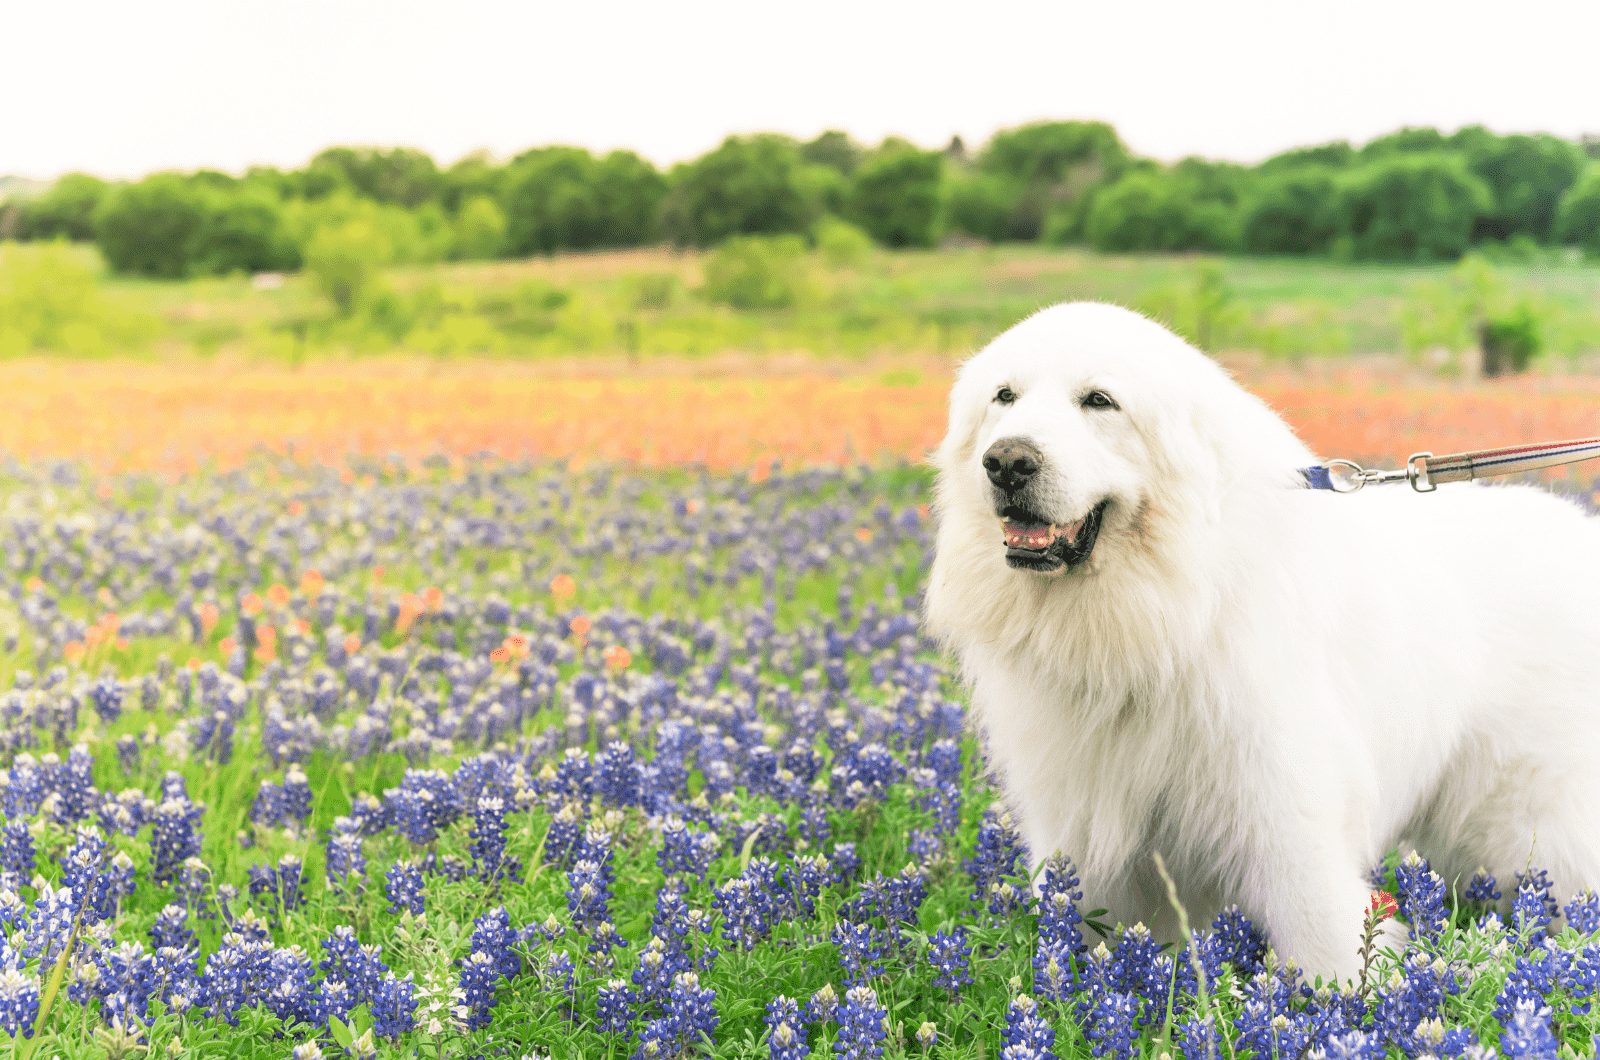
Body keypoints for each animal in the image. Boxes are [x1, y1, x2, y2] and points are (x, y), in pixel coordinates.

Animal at [921, 299, 1600, 979]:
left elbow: (1325, 938)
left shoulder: (1282, 808)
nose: (1008, 461)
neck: (1159, 613)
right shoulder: (1084, 822)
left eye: (1099, 400)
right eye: (1004, 396)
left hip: (1535, 819)